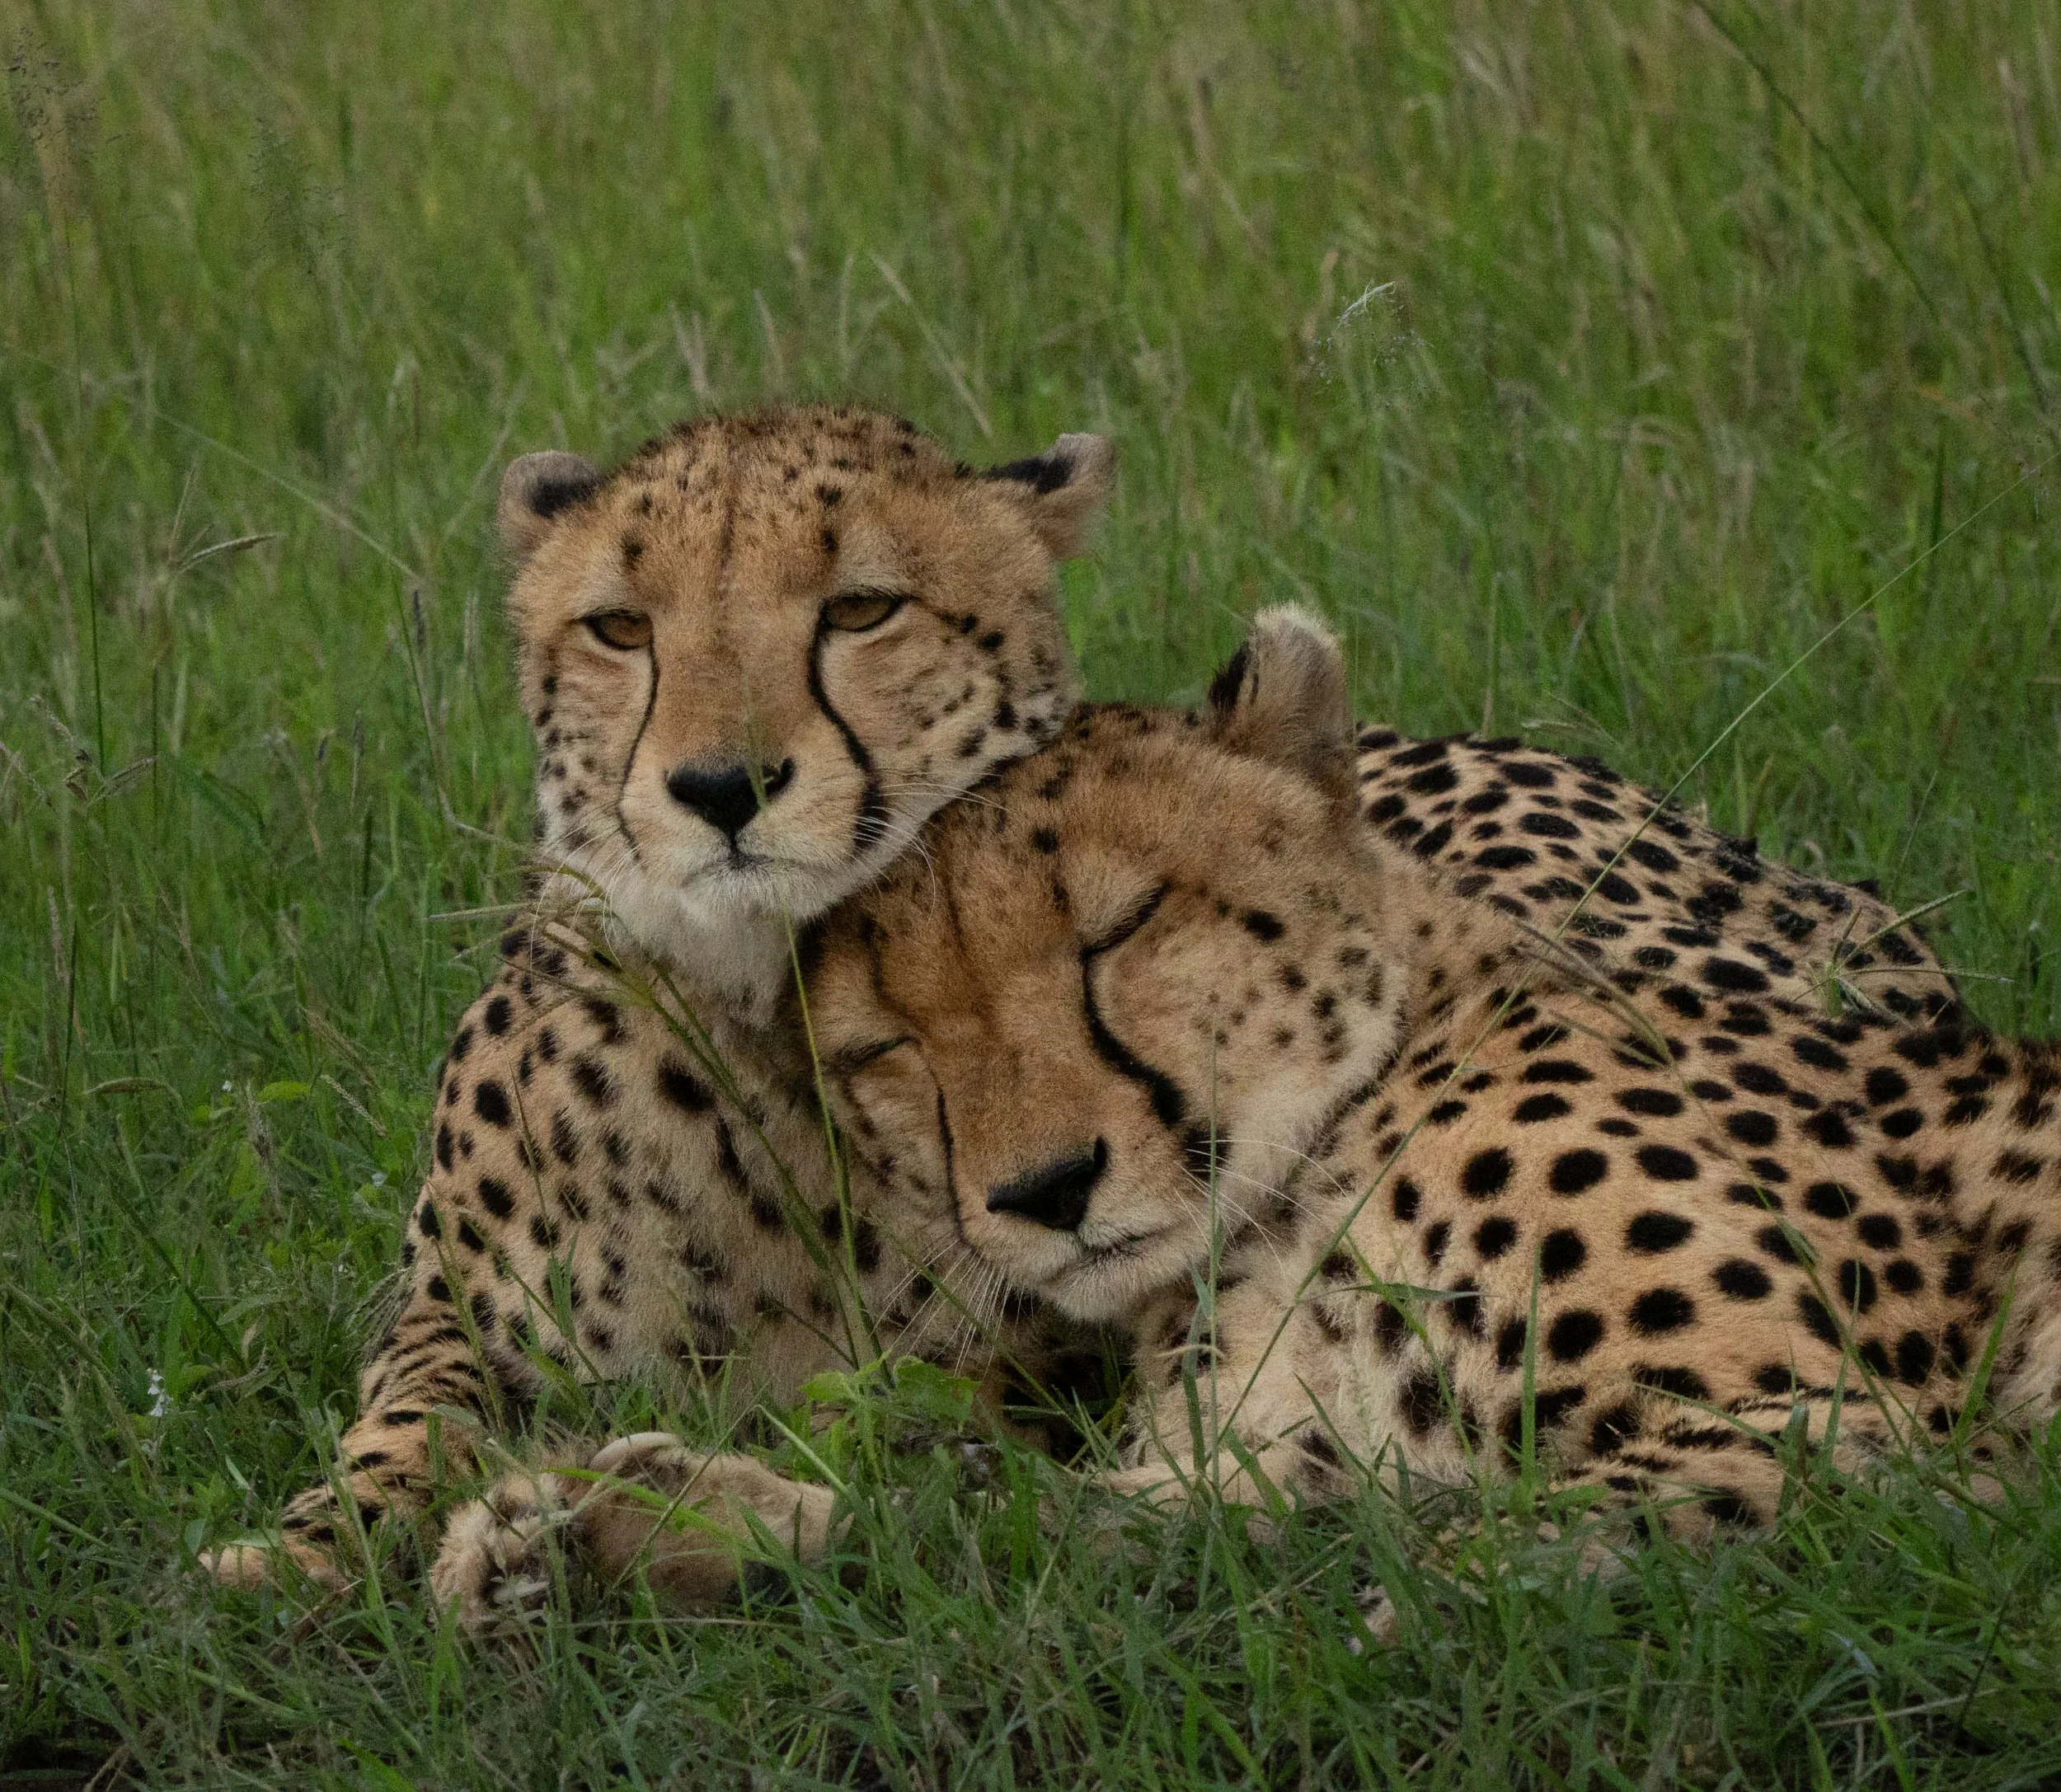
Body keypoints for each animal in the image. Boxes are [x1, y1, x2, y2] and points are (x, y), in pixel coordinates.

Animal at [204, 404, 1120, 1600]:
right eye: (621, 628)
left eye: (861, 608)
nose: (723, 787)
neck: (754, 1020)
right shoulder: (452, 1307)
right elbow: (410, 1418)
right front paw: (301, 1554)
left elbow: (909, 1440)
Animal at [796, 607, 2059, 1592]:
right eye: (888, 1045)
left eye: (1118, 929)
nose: (1049, 1190)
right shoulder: (1276, 1453)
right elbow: (1025, 1527)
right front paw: (781, 1527)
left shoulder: (1844, 1437)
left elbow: (1473, 1569)